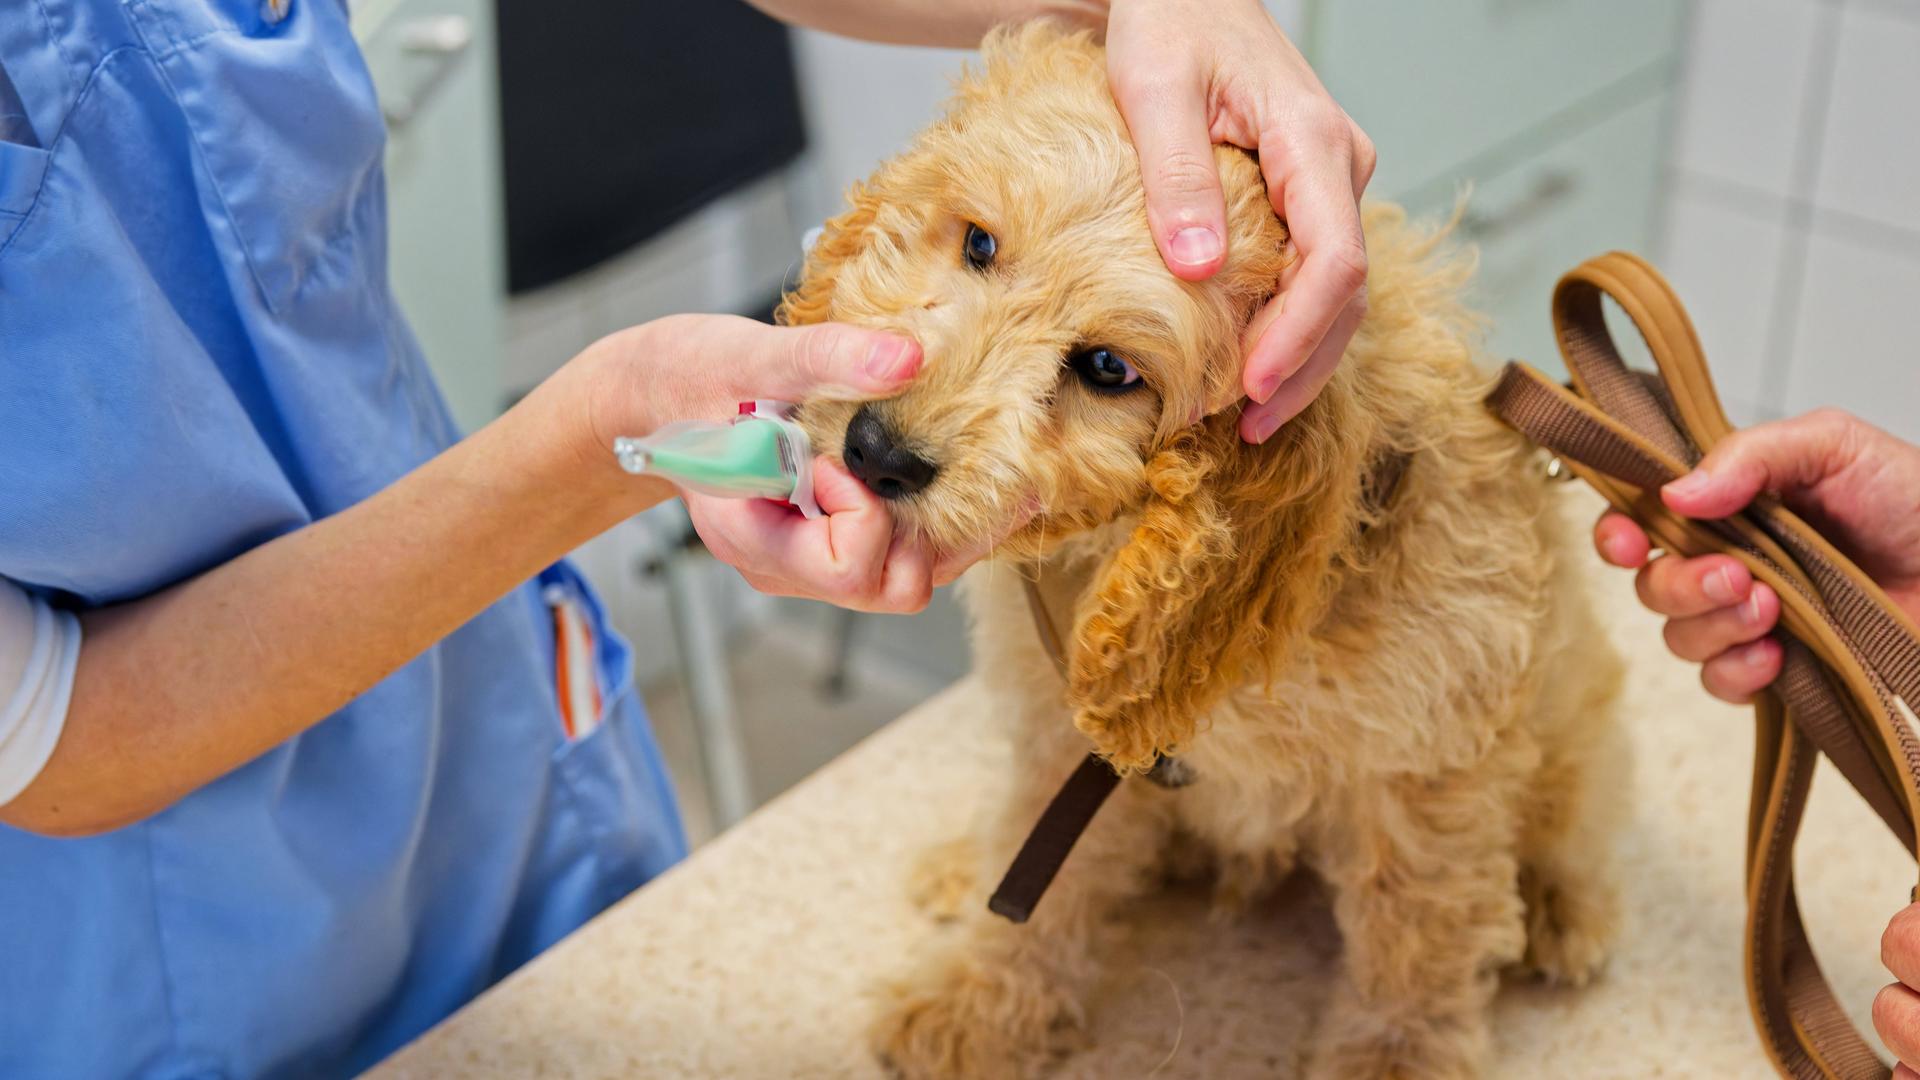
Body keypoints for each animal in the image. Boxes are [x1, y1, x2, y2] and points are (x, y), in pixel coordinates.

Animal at [787, 21, 1628, 1068]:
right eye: (978, 242)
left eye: (1109, 368)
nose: (878, 450)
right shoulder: (1061, 733)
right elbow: (1044, 875)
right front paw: (981, 1007)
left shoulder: (1426, 772)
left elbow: (1416, 935)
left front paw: (1393, 1058)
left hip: (1572, 711)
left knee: (1574, 810)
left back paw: (1562, 905)